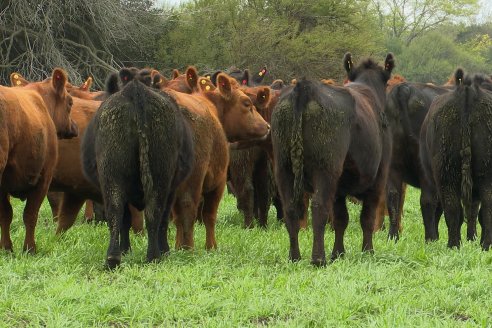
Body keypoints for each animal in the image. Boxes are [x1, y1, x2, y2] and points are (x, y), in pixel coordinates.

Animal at [0, 68, 77, 254]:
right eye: (70, 102)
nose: (75, 127)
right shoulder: (44, 178)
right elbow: (30, 214)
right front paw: (30, 248)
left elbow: (6, 214)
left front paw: (6, 248)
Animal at [81, 68, 194, 268]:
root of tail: (135, 91)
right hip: (155, 177)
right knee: (150, 213)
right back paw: (148, 255)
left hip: (115, 176)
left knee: (121, 212)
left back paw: (121, 257)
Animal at [272, 52, 396, 266]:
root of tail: (306, 87)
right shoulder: (378, 177)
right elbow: (367, 217)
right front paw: (367, 251)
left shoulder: (340, 187)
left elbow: (340, 219)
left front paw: (338, 253)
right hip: (326, 168)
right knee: (319, 207)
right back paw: (318, 258)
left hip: (284, 167)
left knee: (291, 209)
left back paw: (294, 256)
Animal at [418, 68, 492, 250]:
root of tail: (467, 92)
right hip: (483, 172)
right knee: (485, 208)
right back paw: (484, 245)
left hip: (446, 173)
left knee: (453, 209)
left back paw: (454, 245)